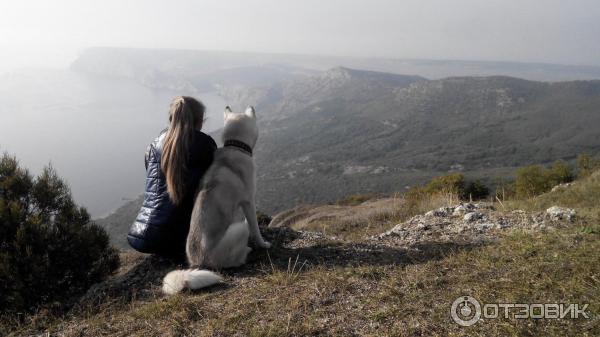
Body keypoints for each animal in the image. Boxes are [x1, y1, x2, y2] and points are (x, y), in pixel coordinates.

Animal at [162, 105, 270, 294]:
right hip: (240, 227)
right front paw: (263, 243)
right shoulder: (249, 202)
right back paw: (247, 250)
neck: (235, 146)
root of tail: (200, 263)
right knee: (237, 257)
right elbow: (256, 229)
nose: (251, 106)